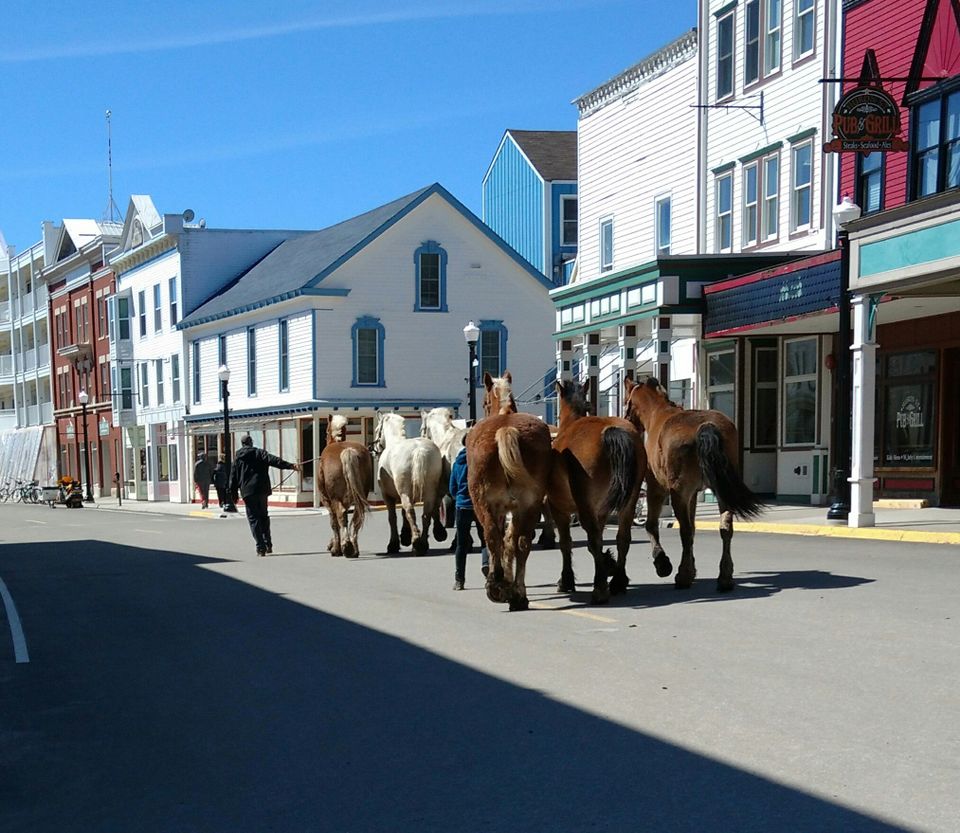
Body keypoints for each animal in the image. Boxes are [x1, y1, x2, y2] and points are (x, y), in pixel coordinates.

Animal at [316, 416, 374, 560]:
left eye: (326, 431)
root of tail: (348, 451)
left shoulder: (327, 501)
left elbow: (334, 522)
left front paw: (335, 548)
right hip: (359, 497)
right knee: (357, 517)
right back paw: (354, 550)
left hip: (335, 499)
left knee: (341, 516)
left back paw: (346, 547)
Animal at [376, 412, 450, 556]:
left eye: (377, 430)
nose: (373, 449)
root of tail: (419, 450)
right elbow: (403, 513)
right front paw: (405, 536)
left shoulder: (387, 496)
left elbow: (393, 517)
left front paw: (394, 544)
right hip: (429, 491)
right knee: (427, 513)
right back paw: (423, 542)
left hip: (404, 492)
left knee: (410, 510)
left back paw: (417, 543)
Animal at [466, 374, 552, 608]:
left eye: (484, 403)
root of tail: (506, 430)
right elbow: (511, 541)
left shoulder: (499, 508)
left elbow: (501, 541)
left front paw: (501, 579)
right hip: (529, 506)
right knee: (522, 543)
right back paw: (519, 594)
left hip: (484, 504)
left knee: (492, 536)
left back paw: (495, 584)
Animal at [548, 378, 644, 604]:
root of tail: (611, 430)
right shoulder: (600, 512)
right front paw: (608, 564)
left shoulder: (558, 509)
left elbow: (566, 543)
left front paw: (566, 580)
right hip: (629, 502)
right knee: (622, 538)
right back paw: (618, 581)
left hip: (584, 506)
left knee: (593, 540)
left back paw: (600, 589)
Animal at [624, 376, 764, 592]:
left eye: (627, 401)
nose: (626, 419)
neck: (658, 414)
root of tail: (707, 426)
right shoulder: (692, 495)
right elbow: (694, 527)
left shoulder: (658, 488)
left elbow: (651, 525)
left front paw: (663, 563)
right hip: (721, 492)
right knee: (725, 529)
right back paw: (724, 577)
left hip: (678, 493)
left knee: (685, 531)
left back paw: (683, 576)